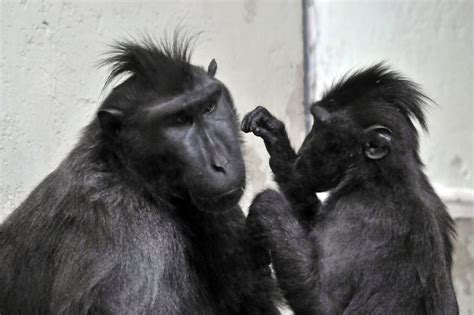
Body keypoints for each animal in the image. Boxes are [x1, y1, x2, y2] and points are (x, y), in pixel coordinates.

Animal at [243, 65, 458, 315]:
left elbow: (322, 302)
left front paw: (267, 205)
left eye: (320, 125)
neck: (378, 176)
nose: (305, 147)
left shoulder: (355, 215)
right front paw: (276, 141)